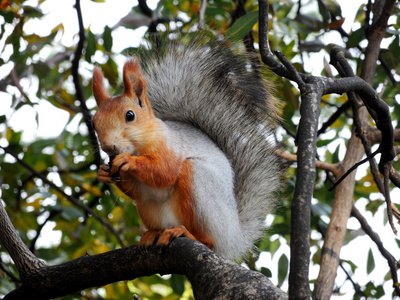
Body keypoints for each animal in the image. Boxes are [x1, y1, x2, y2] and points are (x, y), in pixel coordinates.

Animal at [92, 37, 282, 258]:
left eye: (130, 115)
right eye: (94, 123)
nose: (109, 146)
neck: (142, 144)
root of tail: (235, 238)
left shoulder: (171, 147)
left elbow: (164, 172)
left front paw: (128, 161)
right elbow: (136, 191)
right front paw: (103, 172)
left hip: (199, 185)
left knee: (209, 241)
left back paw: (186, 233)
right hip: (149, 210)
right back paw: (153, 234)